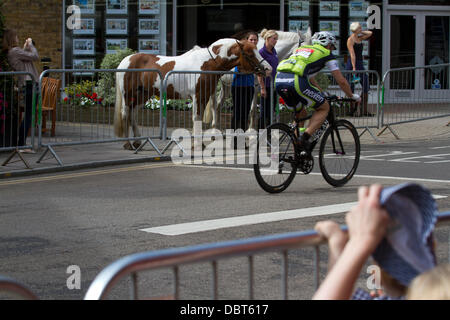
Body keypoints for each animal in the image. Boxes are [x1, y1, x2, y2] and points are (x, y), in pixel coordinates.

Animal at [114, 37, 272, 149]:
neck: (207, 63)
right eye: (249, 53)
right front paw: (196, 145)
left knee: (133, 114)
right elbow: (196, 118)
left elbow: (200, 118)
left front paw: (199, 143)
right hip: (128, 94)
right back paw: (128, 144)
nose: (268, 68)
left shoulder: (204, 96)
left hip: (143, 95)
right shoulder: (197, 96)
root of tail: (126, 60)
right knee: (125, 114)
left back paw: (136, 142)